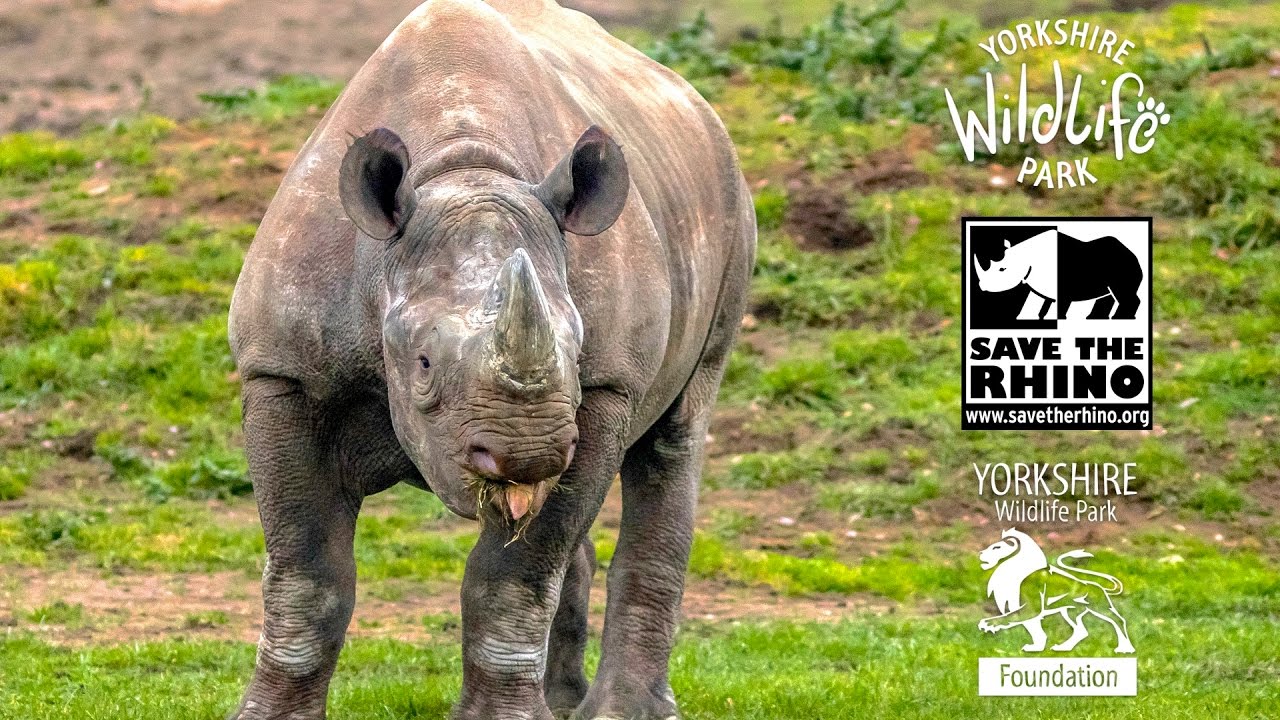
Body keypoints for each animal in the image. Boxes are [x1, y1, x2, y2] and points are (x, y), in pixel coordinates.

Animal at [226, 1, 755, 718]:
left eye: (578, 349)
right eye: (423, 363)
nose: (525, 453)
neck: (464, 170)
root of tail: (696, 105)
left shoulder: (604, 388)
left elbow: (514, 577)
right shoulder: (283, 373)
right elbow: (307, 572)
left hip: (731, 209)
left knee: (675, 436)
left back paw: (617, 711)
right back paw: (563, 702)